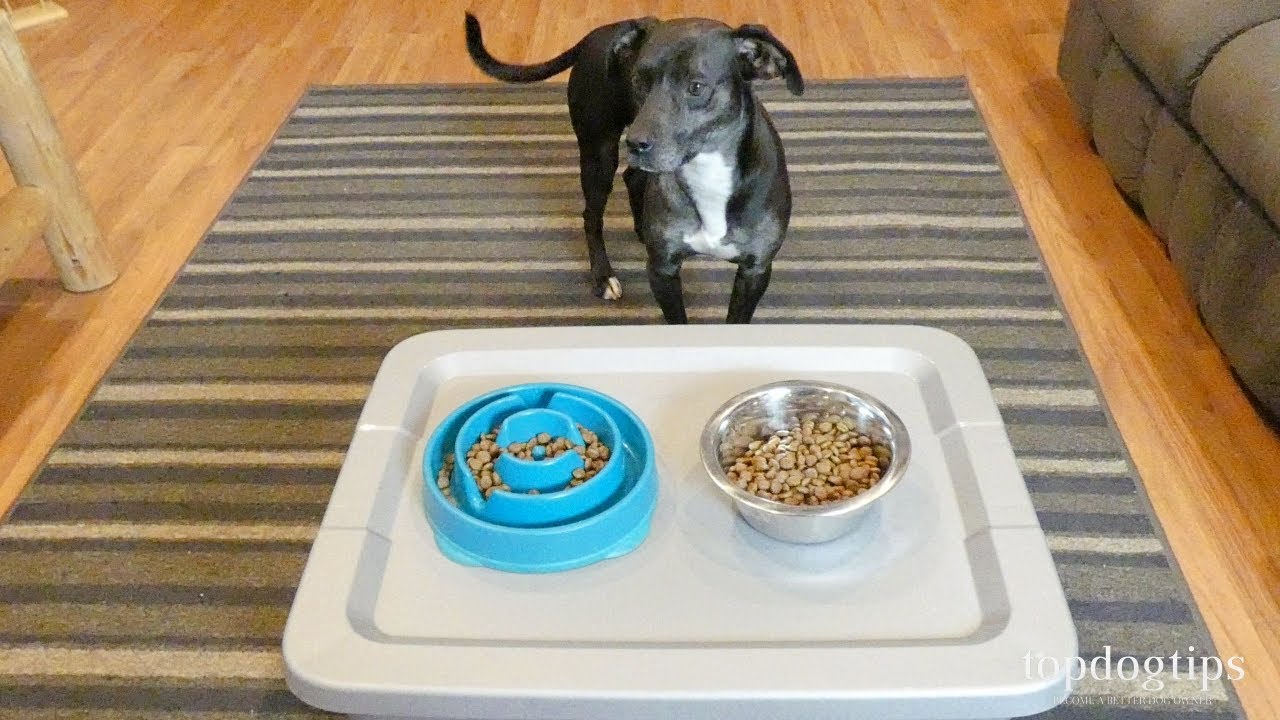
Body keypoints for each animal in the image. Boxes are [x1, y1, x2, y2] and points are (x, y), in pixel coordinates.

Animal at [460, 13, 798, 322]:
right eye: (638, 80)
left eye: (696, 86)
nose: (635, 143)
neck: (708, 172)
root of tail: (602, 31)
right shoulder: (662, 271)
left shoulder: (755, 271)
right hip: (598, 154)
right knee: (592, 216)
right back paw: (602, 276)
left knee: (632, 177)